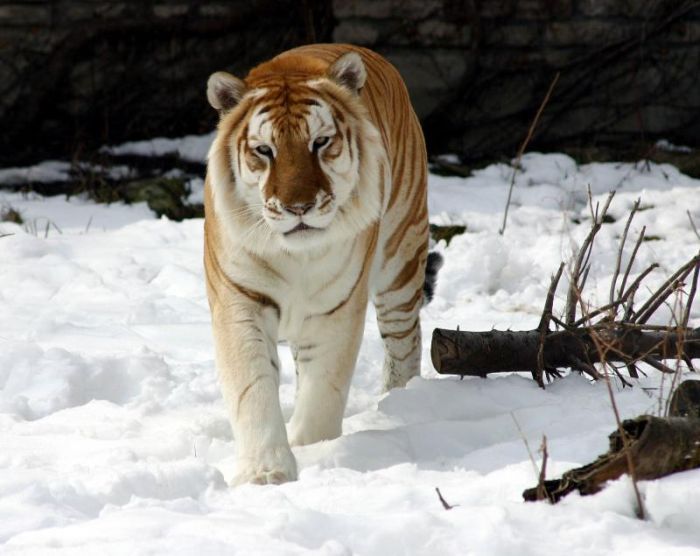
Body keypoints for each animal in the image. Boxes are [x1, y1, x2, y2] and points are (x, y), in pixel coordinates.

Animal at [202, 44, 432, 486]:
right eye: (265, 150)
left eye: (320, 142)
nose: (299, 207)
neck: (295, 256)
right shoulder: (240, 300)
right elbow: (253, 388)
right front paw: (266, 474)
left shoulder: (336, 309)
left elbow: (323, 390)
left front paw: (312, 451)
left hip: (401, 260)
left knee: (405, 339)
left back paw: (403, 401)